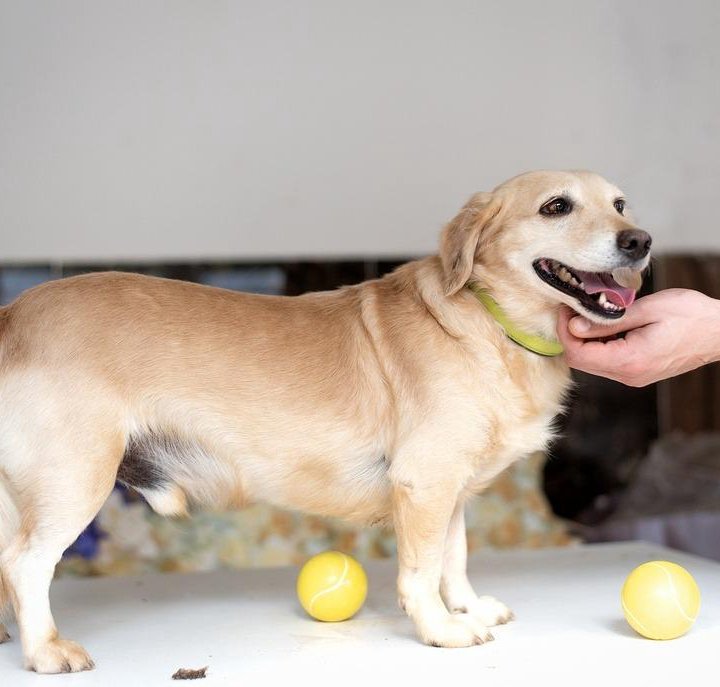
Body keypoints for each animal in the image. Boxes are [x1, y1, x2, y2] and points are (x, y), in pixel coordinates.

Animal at [0, 171, 652, 672]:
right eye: (556, 206)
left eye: (621, 203)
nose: (641, 241)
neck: (492, 325)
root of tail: (14, 313)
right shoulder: (425, 482)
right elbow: (422, 573)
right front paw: (441, 628)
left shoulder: (451, 493)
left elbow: (455, 560)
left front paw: (465, 606)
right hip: (77, 479)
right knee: (27, 564)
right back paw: (45, 650)